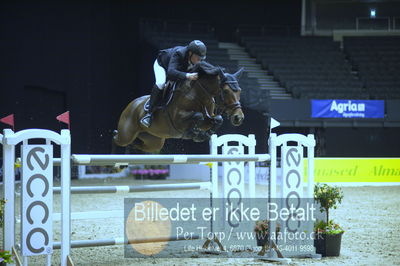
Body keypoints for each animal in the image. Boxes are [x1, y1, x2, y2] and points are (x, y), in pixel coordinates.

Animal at [112, 60, 244, 152]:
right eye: (226, 91)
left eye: (240, 91)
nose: (239, 117)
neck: (199, 94)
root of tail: (131, 105)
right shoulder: (178, 120)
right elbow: (198, 115)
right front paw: (194, 133)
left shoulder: (208, 118)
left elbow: (218, 119)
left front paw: (204, 134)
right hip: (126, 135)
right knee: (116, 138)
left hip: (154, 141)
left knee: (137, 144)